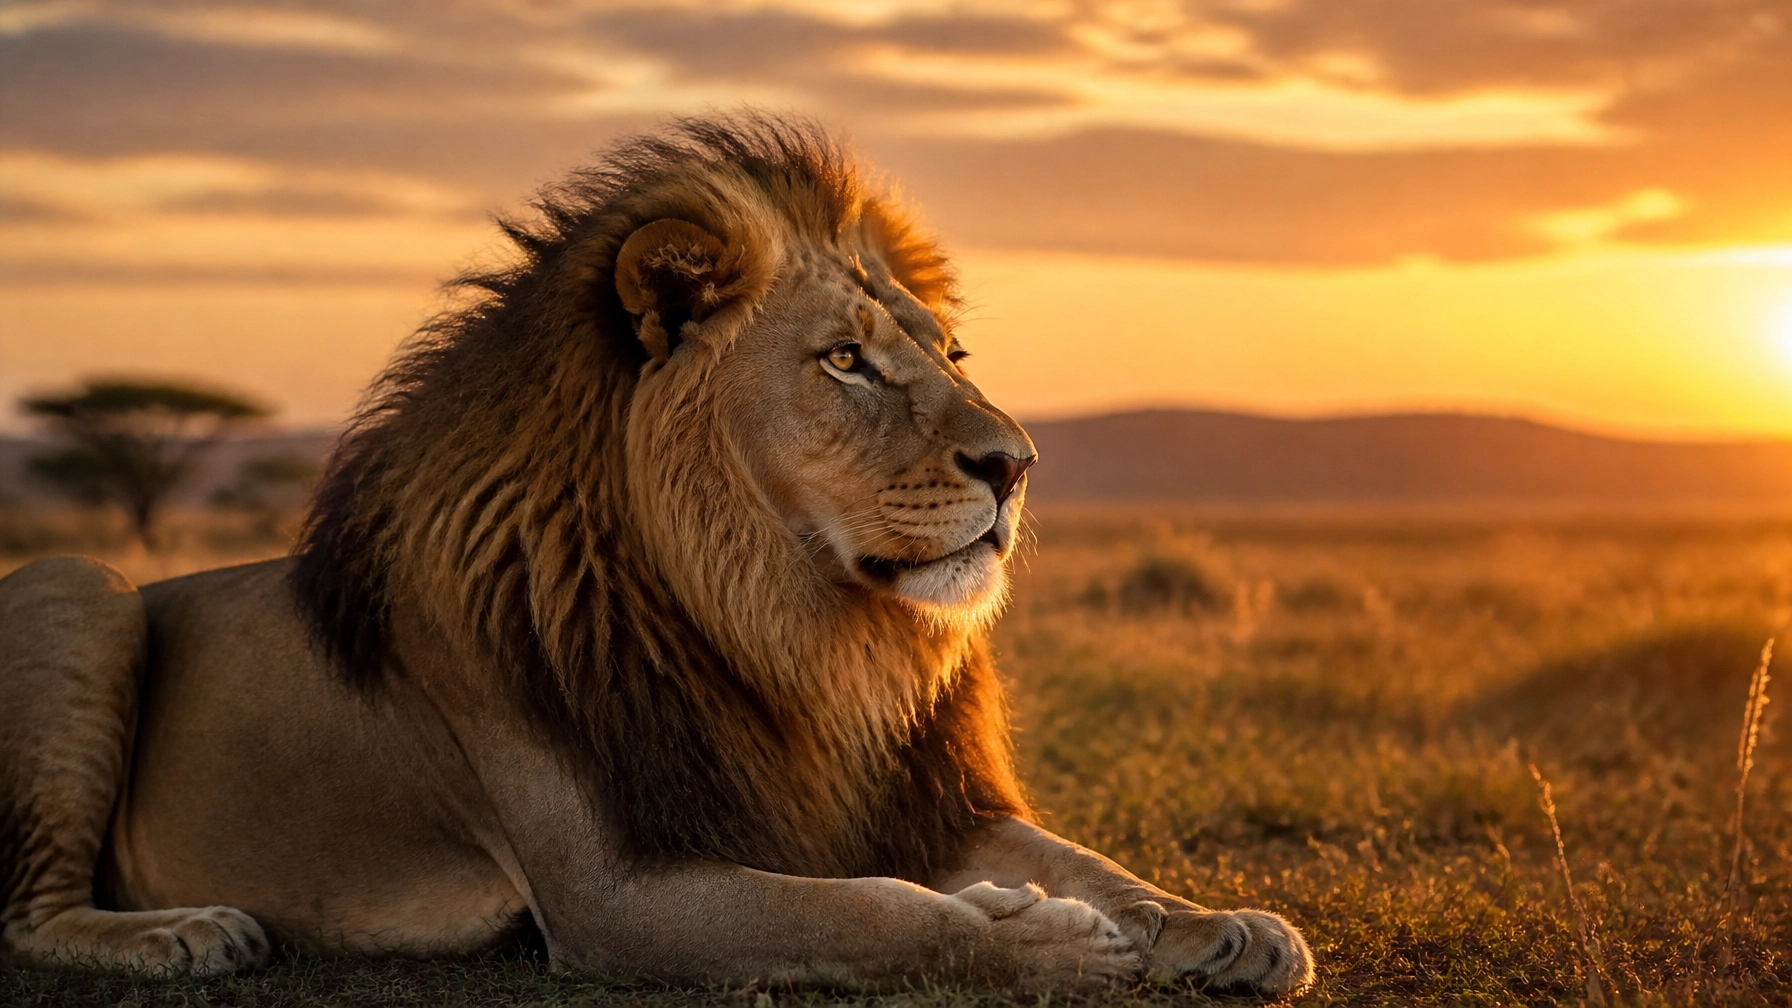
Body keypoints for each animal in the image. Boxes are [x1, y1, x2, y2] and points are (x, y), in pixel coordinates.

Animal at [0, 115, 1313, 995]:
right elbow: (880, 920)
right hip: (79, 587)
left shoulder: (904, 793)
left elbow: (1084, 859)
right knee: (22, 912)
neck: (792, 632)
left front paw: (1218, 924)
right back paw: (184, 934)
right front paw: (1050, 939)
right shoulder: (610, 897)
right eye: (845, 360)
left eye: (949, 354)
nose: (1017, 463)